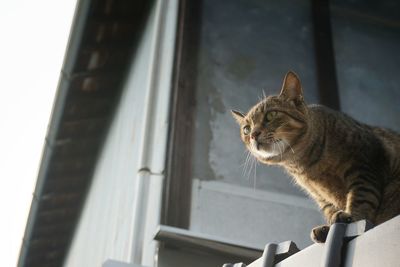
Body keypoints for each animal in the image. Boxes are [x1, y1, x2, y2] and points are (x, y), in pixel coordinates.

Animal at [231, 71, 400, 243]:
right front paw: (329, 227)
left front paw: (352, 217)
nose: (253, 134)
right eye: (246, 129)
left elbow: (361, 196)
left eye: (271, 115)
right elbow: (330, 210)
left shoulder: (364, 162)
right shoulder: (320, 196)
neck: (305, 163)